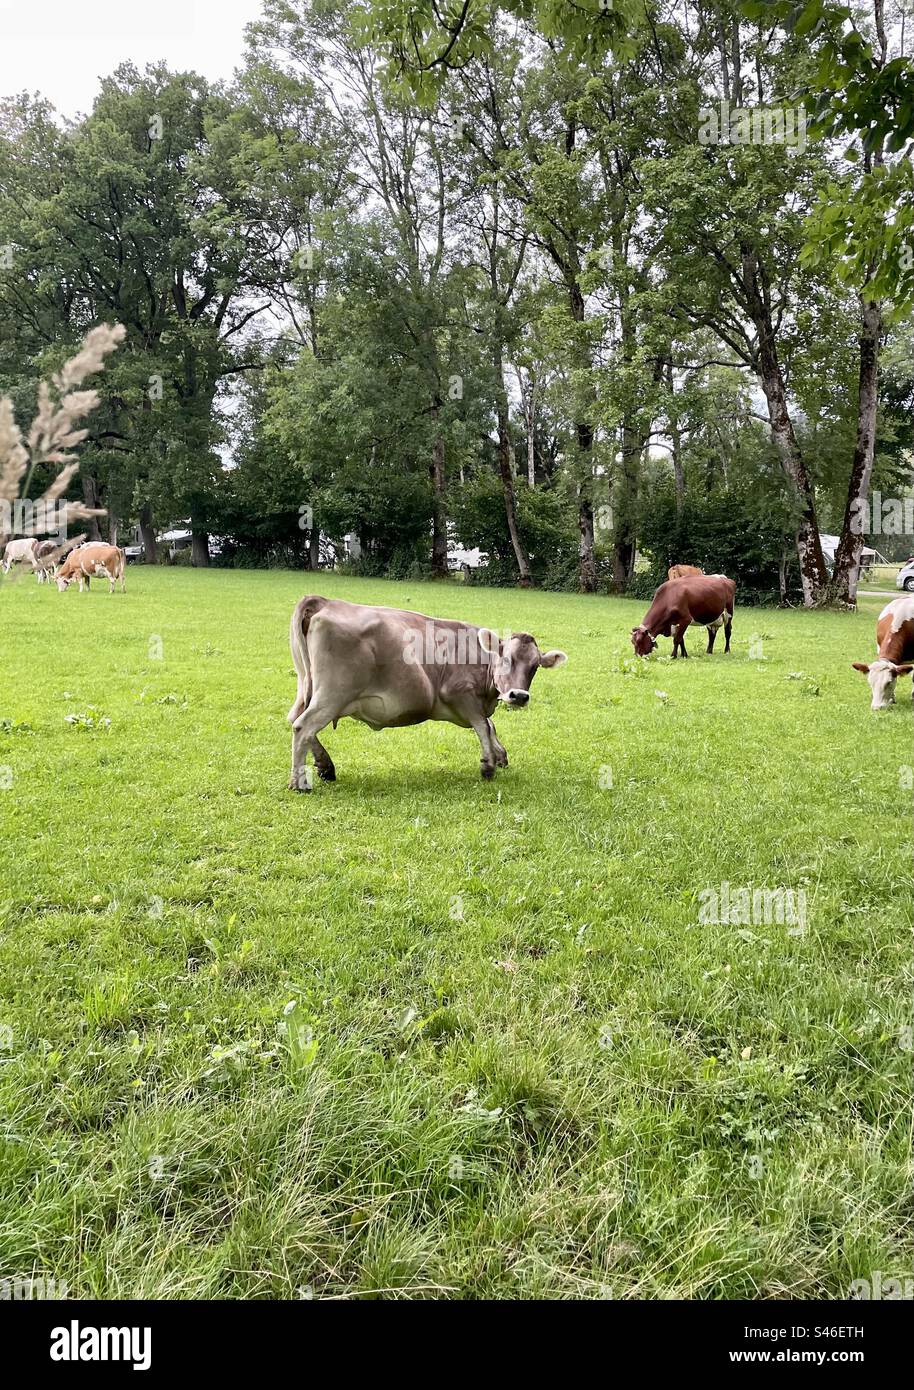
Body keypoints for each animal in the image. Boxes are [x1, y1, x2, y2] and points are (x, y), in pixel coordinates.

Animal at [286, 595, 567, 789]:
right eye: (506, 658)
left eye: (534, 666)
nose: (518, 696)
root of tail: (325, 602)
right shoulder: (457, 693)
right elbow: (483, 725)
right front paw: (488, 765)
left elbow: (490, 725)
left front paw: (500, 755)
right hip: (334, 693)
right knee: (303, 726)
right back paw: (299, 783)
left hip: (308, 688)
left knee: (295, 720)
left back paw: (325, 766)